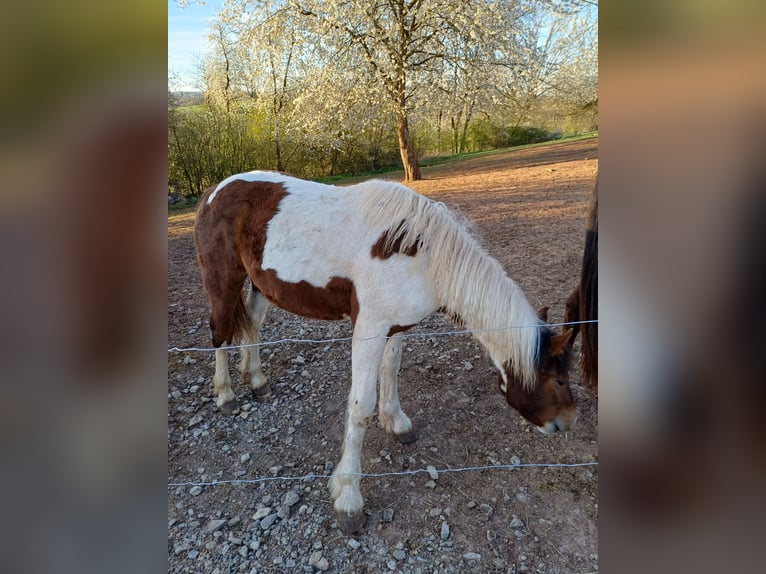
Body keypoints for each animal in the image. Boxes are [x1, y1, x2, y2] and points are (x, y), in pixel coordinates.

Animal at [193, 171, 575, 533]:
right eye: (557, 380)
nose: (566, 423)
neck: (422, 256)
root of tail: (216, 191)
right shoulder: (369, 331)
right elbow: (361, 405)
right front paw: (349, 499)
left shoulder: (395, 327)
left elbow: (390, 372)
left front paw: (397, 423)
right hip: (223, 281)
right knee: (220, 333)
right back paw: (226, 394)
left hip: (260, 285)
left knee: (253, 324)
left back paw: (256, 379)